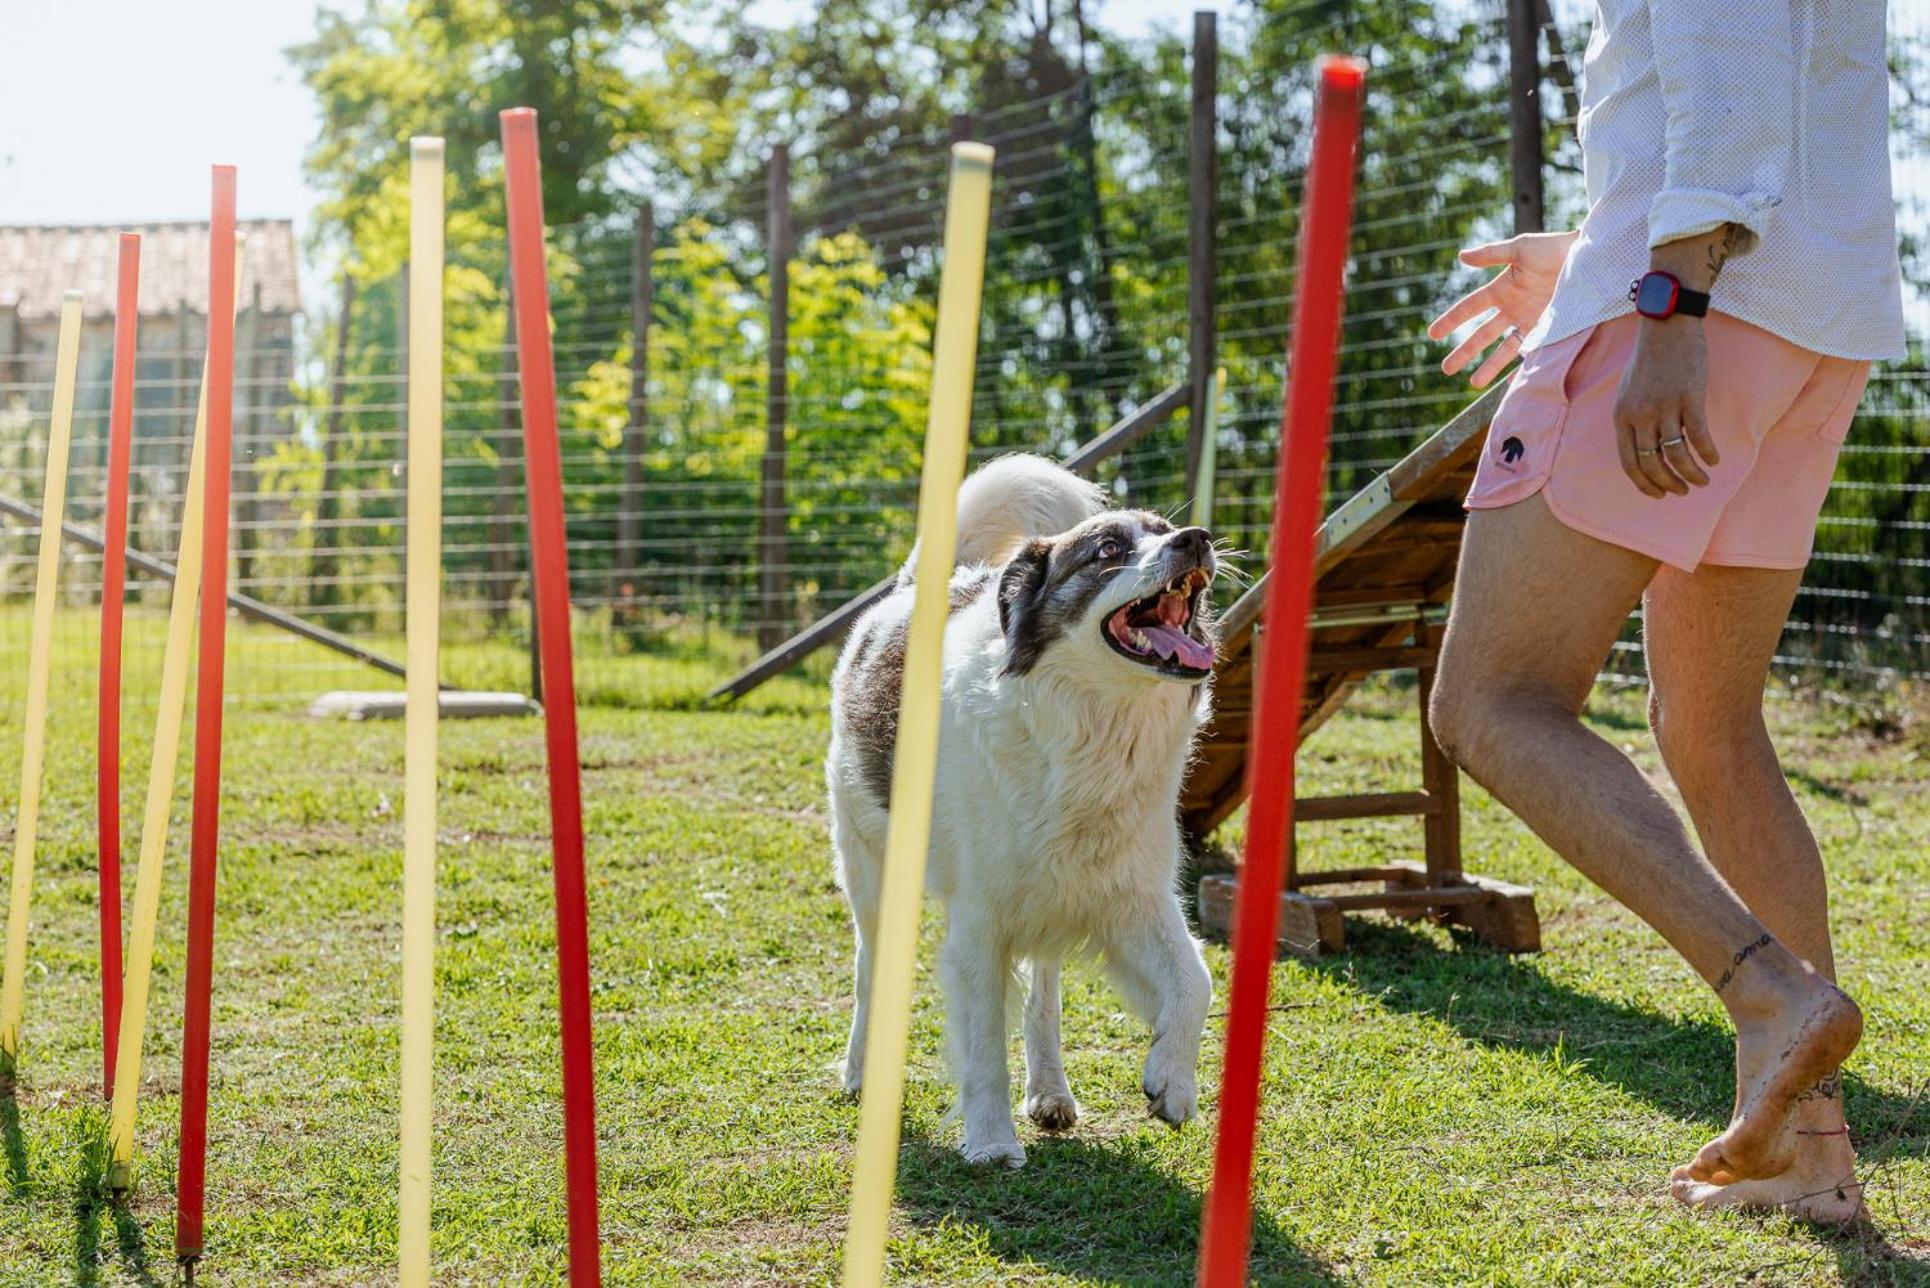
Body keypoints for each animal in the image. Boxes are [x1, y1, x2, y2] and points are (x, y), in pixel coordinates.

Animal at [822, 453, 1212, 1166]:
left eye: (1165, 530)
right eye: (1107, 550)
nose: (1195, 539)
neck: (1087, 729)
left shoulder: (1134, 897)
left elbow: (1195, 981)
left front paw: (1172, 1082)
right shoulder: (980, 921)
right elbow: (981, 1042)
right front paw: (990, 1140)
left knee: (1044, 991)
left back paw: (1051, 1091)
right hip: (869, 869)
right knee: (869, 970)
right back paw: (861, 1071)